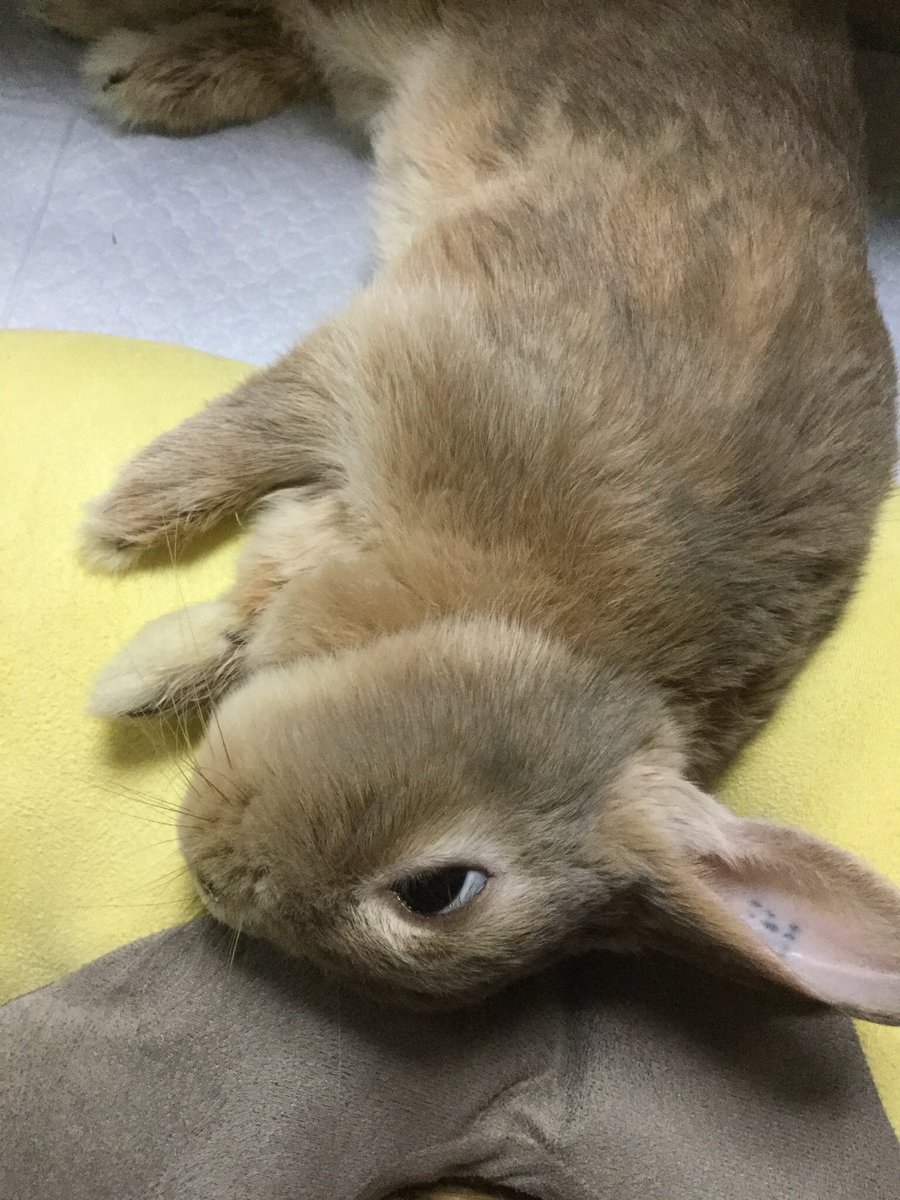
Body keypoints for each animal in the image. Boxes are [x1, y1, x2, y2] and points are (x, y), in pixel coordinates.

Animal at [49, 0, 900, 1022]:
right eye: (440, 889)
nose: (214, 880)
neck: (524, 631)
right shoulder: (397, 351)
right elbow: (252, 429)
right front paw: (115, 528)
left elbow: (251, 602)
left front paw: (144, 675)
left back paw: (147, 77)